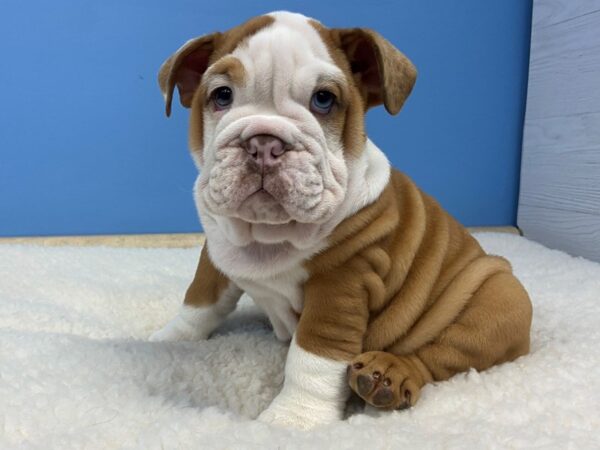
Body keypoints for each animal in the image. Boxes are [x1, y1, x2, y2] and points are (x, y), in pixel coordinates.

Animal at [149, 11, 528, 428]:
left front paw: (293, 420)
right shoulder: (217, 249)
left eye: (324, 99)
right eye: (221, 95)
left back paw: (387, 374)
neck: (266, 235)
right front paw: (170, 339)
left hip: (499, 301)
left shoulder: (341, 281)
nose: (264, 143)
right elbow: (200, 300)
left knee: (439, 355)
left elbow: (314, 355)